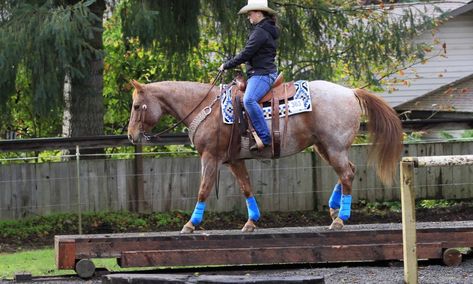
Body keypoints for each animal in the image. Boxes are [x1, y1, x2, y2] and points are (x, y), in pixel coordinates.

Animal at [126, 77, 402, 233]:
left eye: (137, 106)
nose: (130, 135)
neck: (206, 107)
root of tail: (350, 92)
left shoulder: (211, 157)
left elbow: (203, 189)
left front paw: (190, 224)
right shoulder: (234, 160)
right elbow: (246, 187)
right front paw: (251, 222)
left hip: (334, 147)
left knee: (346, 174)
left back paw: (340, 219)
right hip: (324, 147)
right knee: (350, 171)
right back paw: (335, 210)